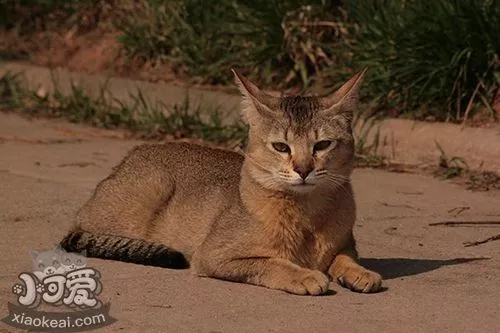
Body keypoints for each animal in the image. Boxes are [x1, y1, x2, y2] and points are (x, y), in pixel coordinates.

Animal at [61, 69, 382, 294]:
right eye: (281, 147)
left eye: (322, 145)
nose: (303, 170)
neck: (307, 216)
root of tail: (133, 154)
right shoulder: (213, 256)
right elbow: (267, 262)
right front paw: (302, 275)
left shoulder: (346, 244)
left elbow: (344, 257)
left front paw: (359, 272)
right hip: (147, 191)